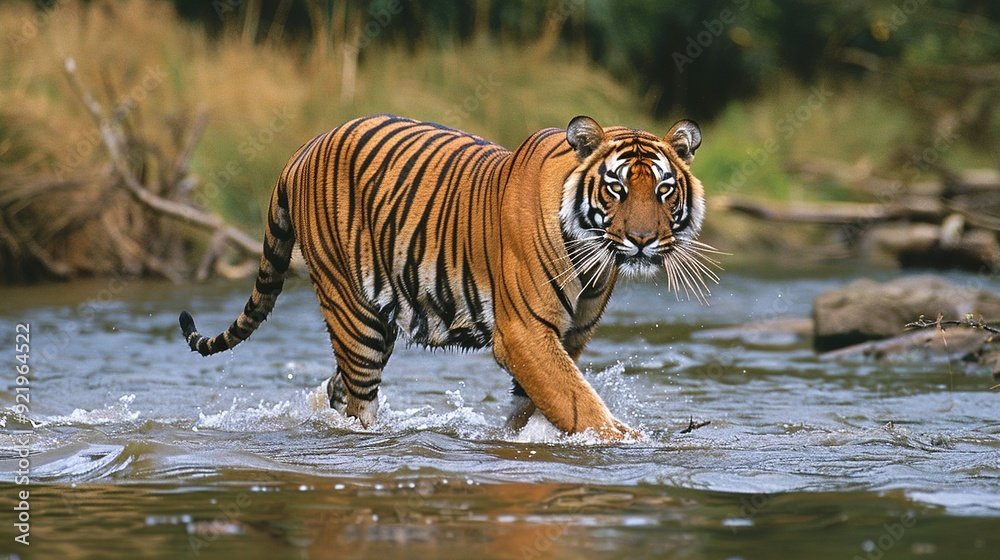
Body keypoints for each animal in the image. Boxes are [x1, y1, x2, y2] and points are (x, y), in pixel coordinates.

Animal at [179, 114, 719, 441]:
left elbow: (541, 404)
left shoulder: (568, 336)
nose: (644, 240)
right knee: (358, 404)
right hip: (356, 316)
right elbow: (579, 401)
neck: (593, 261)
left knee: (335, 389)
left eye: (665, 190)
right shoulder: (524, 333)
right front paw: (628, 441)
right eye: (616, 188)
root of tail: (301, 151)